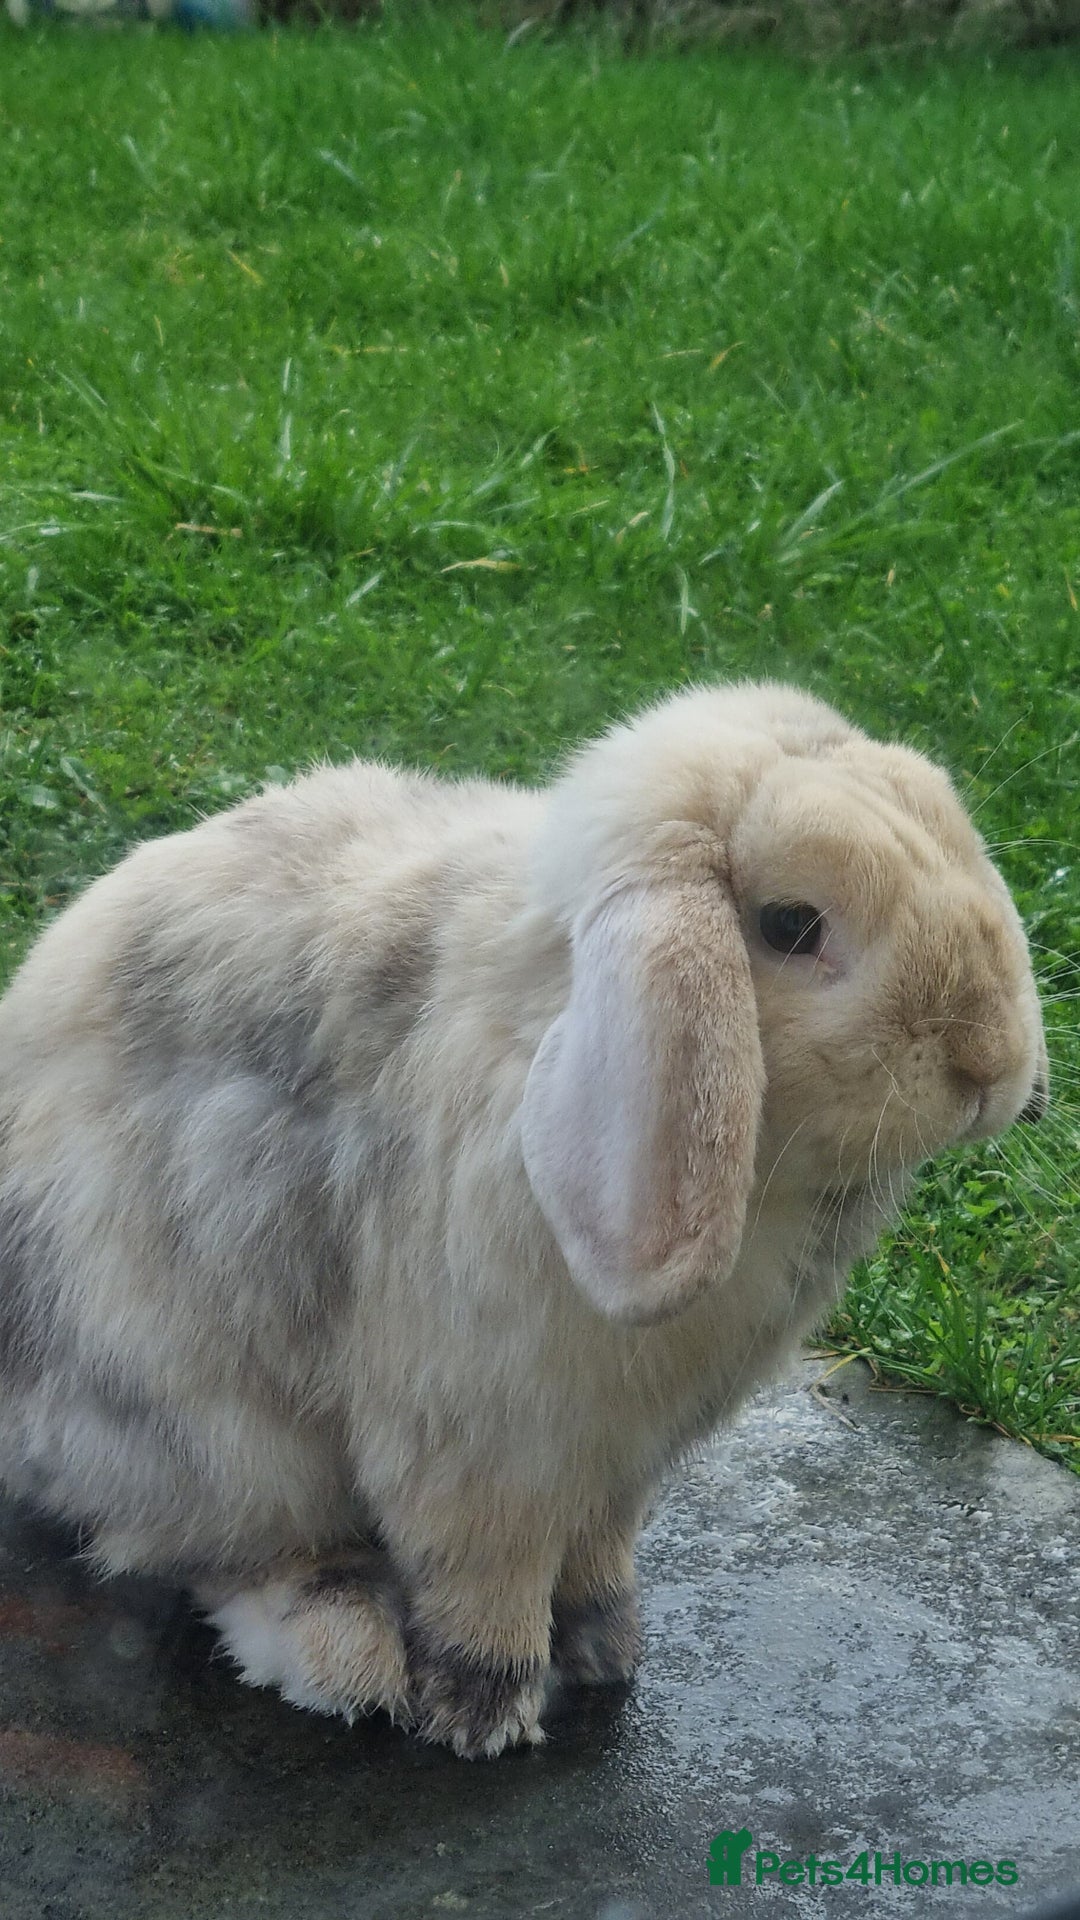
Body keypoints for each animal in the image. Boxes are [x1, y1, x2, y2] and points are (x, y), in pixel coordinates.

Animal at [0, 680, 1048, 1757]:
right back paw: (342, 1649)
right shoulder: (484, 1437)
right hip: (214, 1431)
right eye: (792, 924)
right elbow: (483, 1570)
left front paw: (606, 1647)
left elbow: (595, 1552)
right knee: (223, 1547)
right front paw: (486, 1710)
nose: (988, 1064)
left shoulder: (620, 1463)